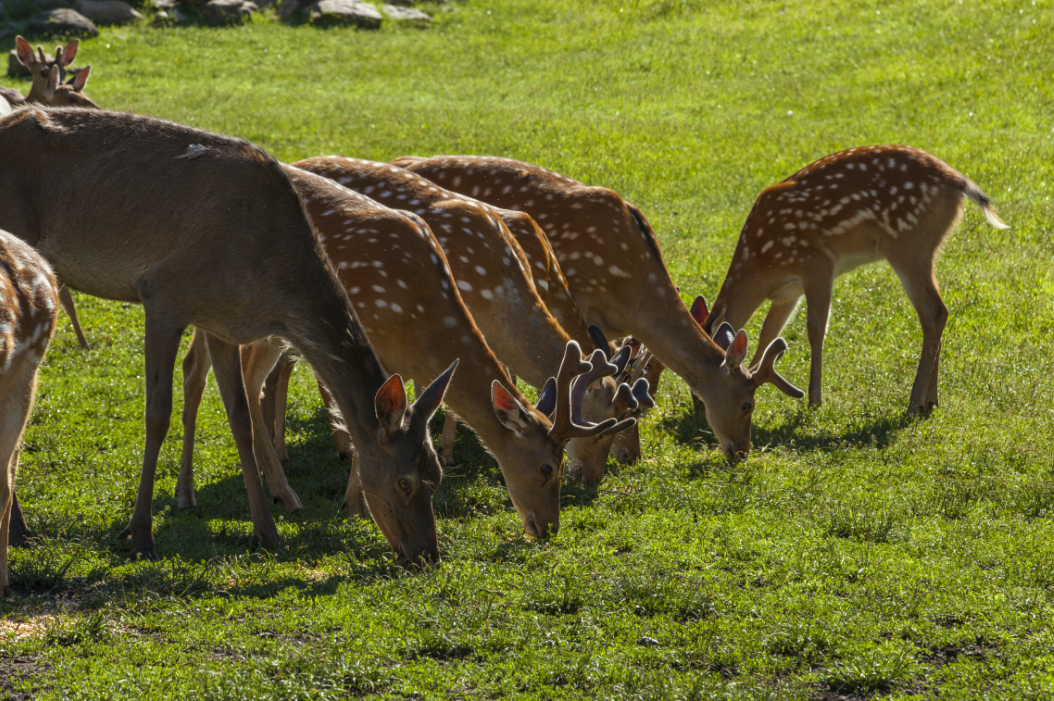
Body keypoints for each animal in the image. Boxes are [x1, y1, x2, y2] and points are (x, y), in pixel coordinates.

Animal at [0, 108, 453, 565]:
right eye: (404, 481)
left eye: (437, 474)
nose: (427, 554)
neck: (269, 281)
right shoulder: (162, 294)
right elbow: (157, 414)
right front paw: (140, 533)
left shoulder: (222, 321)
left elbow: (240, 418)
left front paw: (267, 532)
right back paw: (20, 529)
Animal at [179, 166, 632, 537]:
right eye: (546, 467)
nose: (548, 528)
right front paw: (355, 505)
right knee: (213, 370)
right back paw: (243, 492)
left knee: (248, 380)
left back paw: (274, 487)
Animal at [691, 144, 1003, 413]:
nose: (697, 406)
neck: (759, 263)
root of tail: (960, 182)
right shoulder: (788, 292)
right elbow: (769, 333)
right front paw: (755, 373)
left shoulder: (816, 263)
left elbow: (815, 330)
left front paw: (814, 399)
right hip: (929, 248)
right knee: (939, 313)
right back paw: (931, 401)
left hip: (907, 243)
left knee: (934, 312)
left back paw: (914, 402)